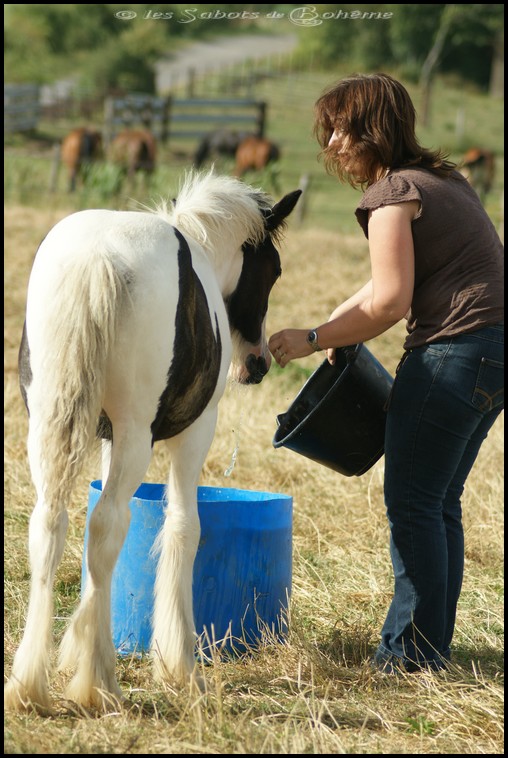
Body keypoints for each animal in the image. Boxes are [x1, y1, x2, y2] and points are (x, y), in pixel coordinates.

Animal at [4, 169, 302, 716]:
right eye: (272, 270)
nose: (258, 364)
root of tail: (96, 257)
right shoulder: (194, 433)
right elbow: (184, 526)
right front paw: (180, 666)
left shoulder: (105, 437)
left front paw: (78, 644)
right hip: (136, 435)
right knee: (107, 526)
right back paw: (97, 683)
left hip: (49, 425)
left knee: (51, 523)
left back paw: (31, 684)